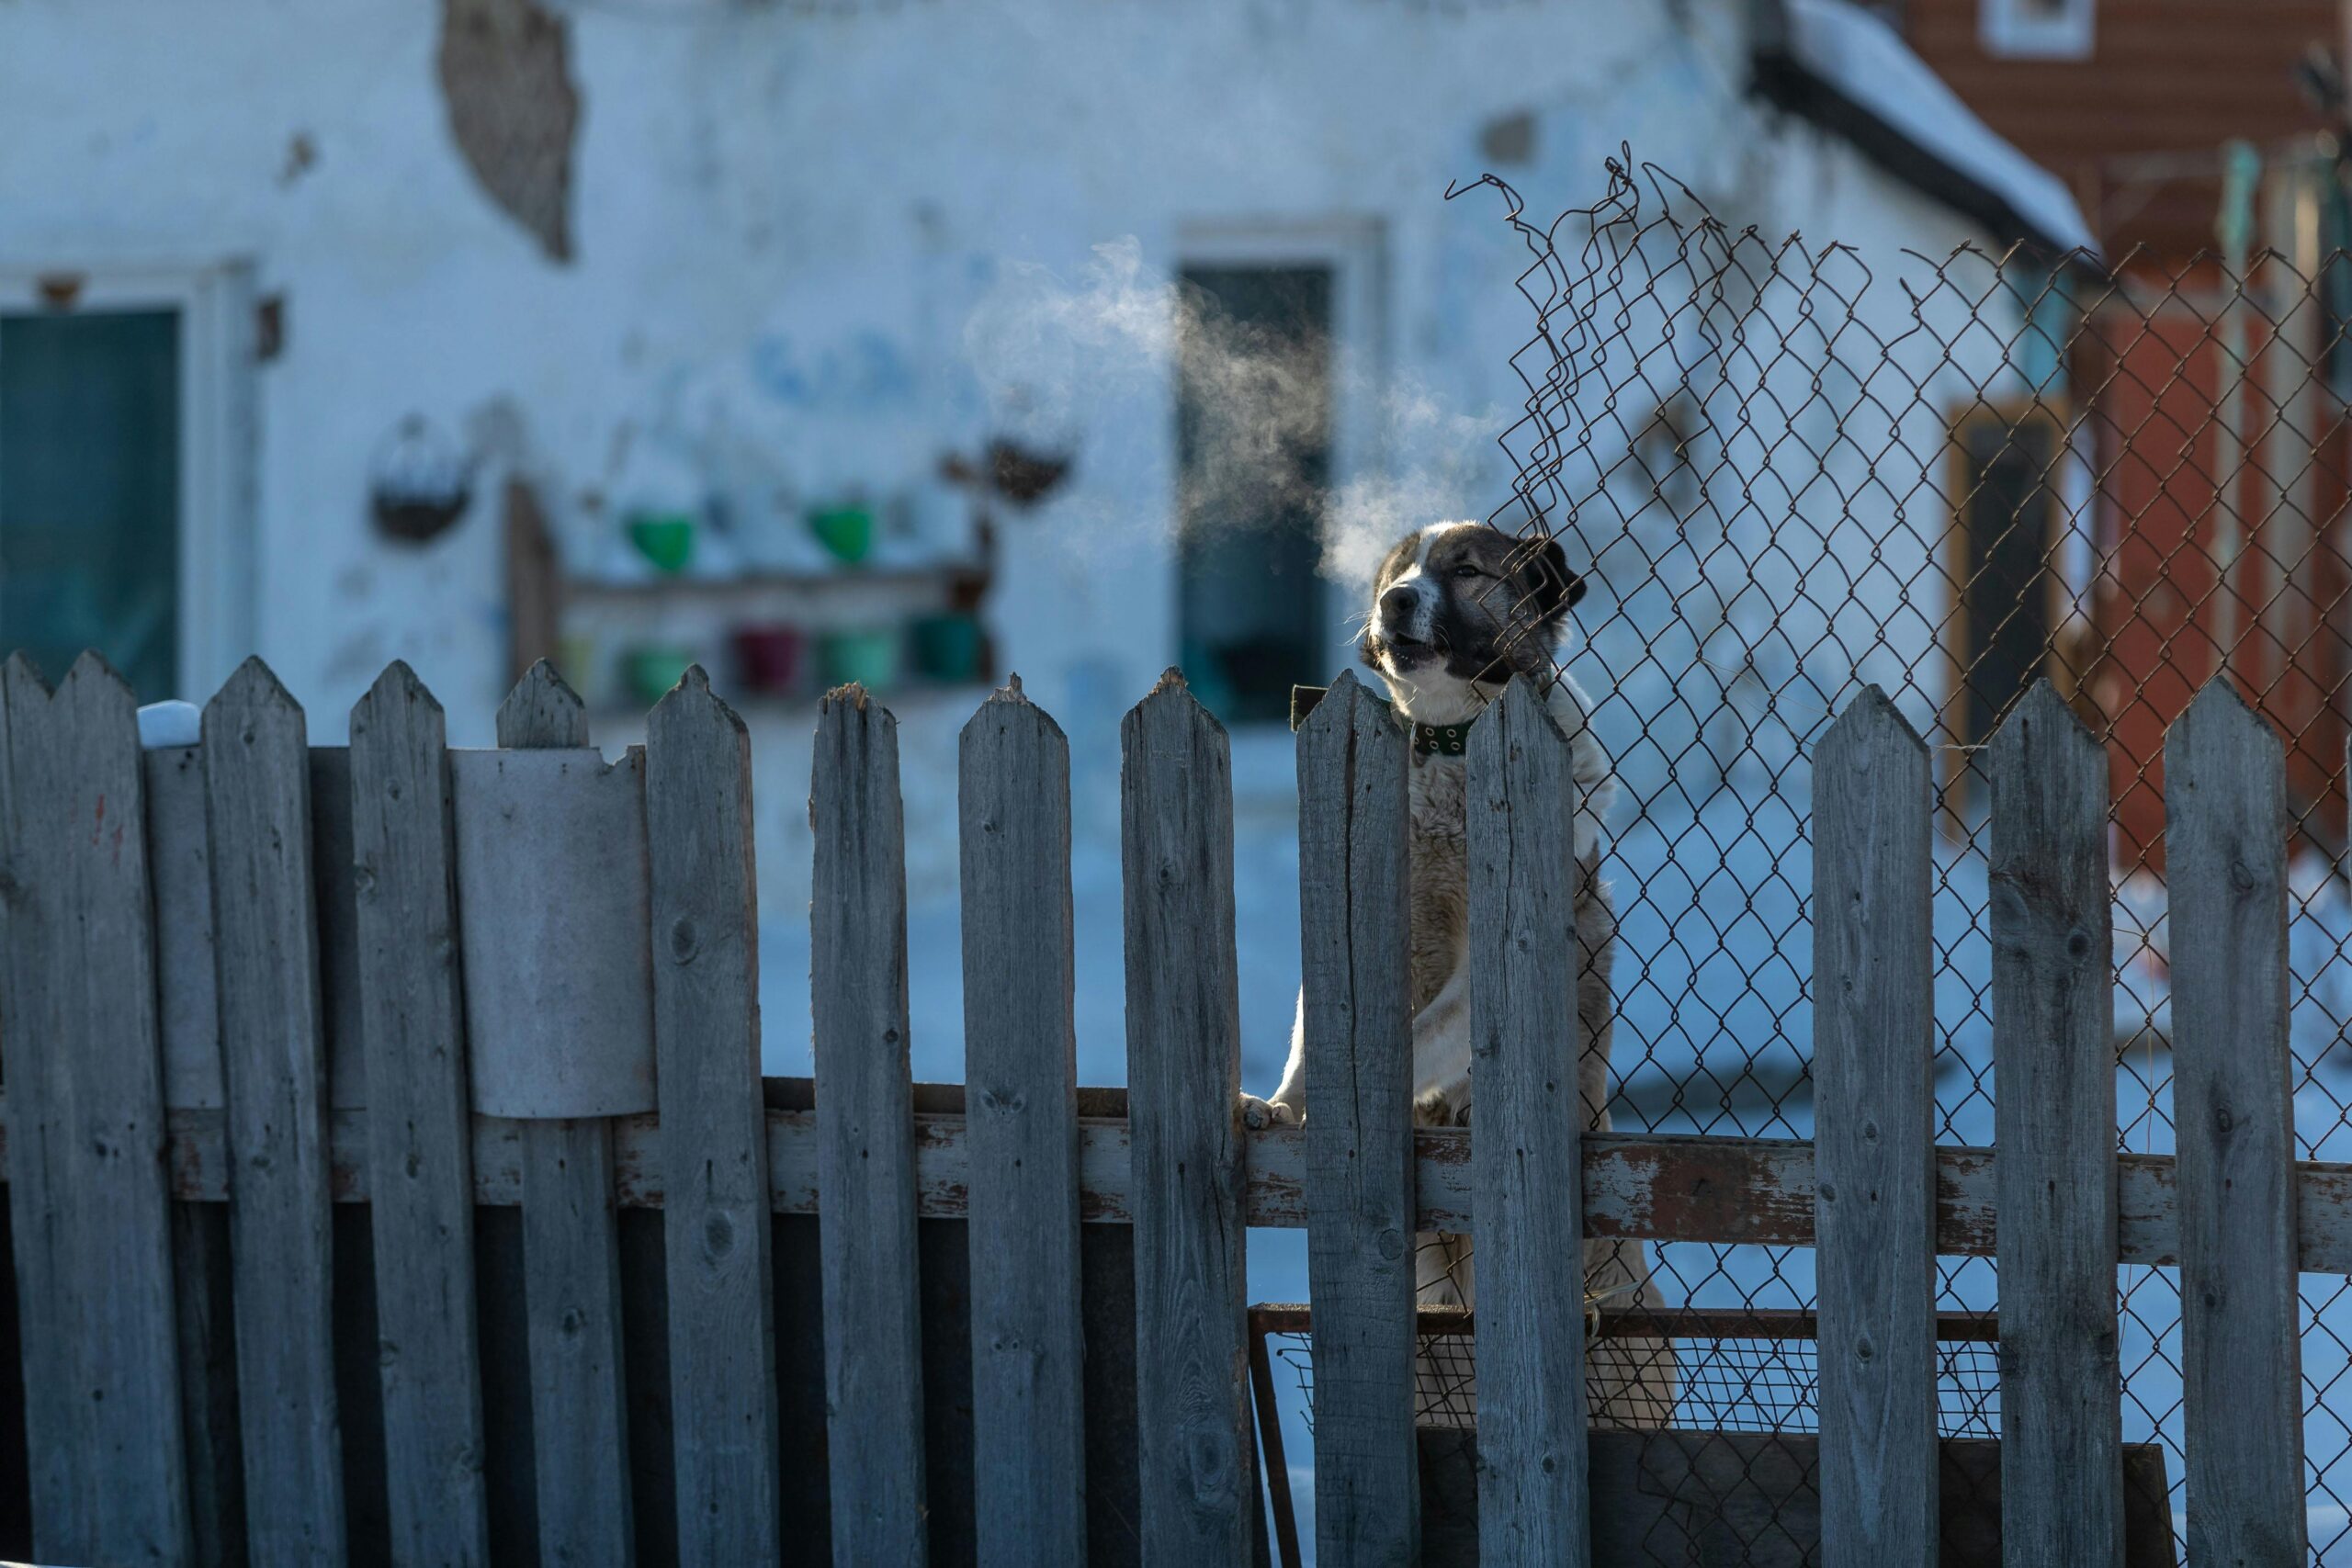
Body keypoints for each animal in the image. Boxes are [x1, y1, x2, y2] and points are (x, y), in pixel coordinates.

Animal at [1241, 522, 1683, 1429]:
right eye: (1396, 571)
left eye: (1466, 570)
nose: (1392, 601)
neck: (1452, 744)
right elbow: (1314, 1033)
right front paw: (1283, 1105)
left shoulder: (1489, 970)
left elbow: (1416, 1035)